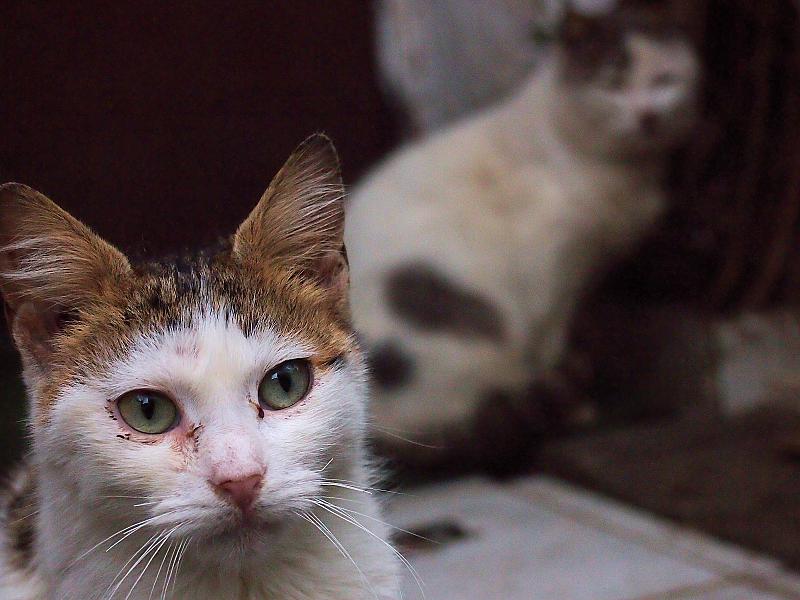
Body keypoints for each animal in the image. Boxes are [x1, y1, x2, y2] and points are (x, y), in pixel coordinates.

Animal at [345, 1, 701, 466]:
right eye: (612, 81)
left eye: (664, 80)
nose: (648, 116)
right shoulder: (555, 273)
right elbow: (551, 344)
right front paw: (574, 400)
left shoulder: (589, 272)